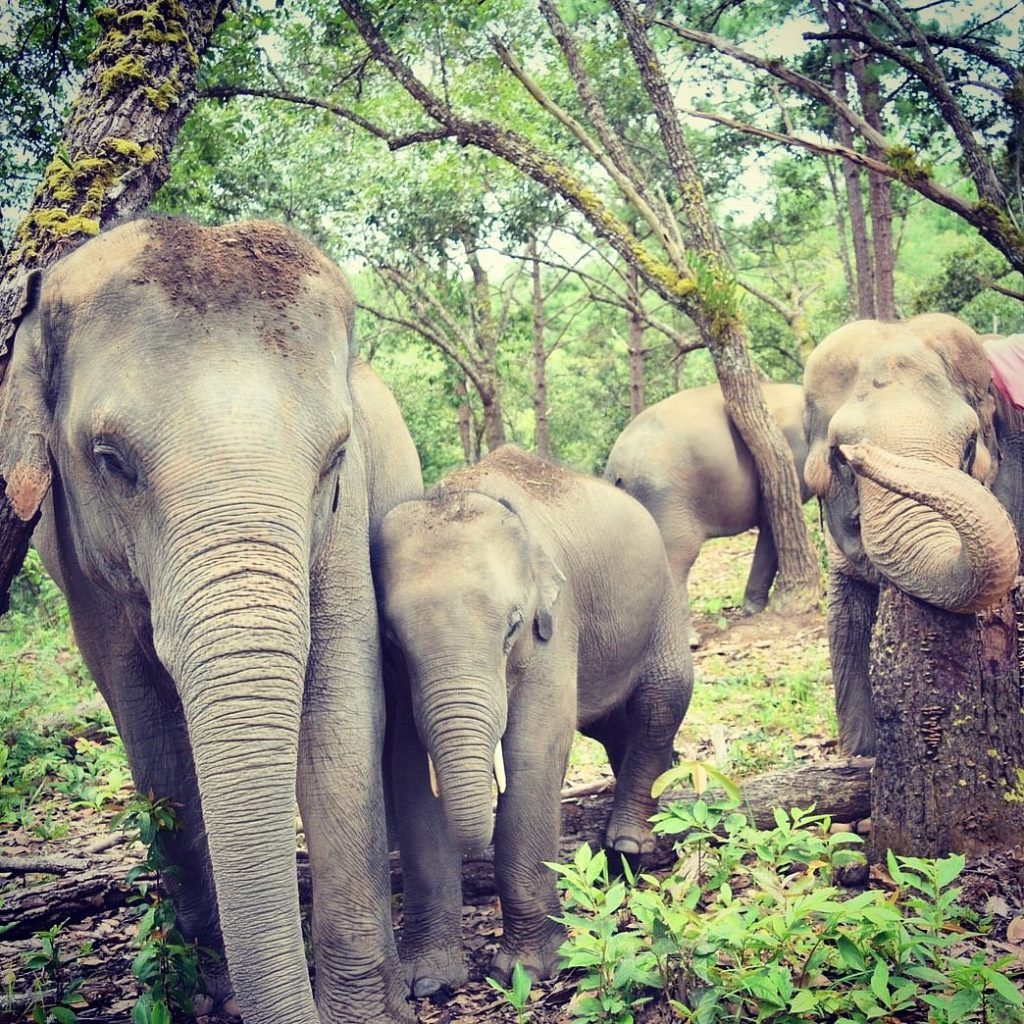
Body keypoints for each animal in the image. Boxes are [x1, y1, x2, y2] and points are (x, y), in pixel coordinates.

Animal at [0, 218, 423, 1024]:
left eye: (336, 456)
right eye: (111, 460)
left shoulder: (345, 522)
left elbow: (341, 705)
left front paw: (368, 1011)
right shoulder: (76, 557)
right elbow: (148, 729)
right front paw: (210, 988)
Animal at [371, 445, 694, 991]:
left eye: (513, 627)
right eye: (393, 641)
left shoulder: (556, 628)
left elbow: (533, 753)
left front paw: (528, 971)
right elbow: (410, 770)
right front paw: (428, 982)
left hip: (663, 602)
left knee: (662, 699)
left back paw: (628, 842)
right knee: (614, 726)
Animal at [603, 382, 810, 644]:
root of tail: (616, 468)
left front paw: (751, 610)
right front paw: (754, 610)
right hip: (667, 498)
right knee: (678, 556)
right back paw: (690, 641)